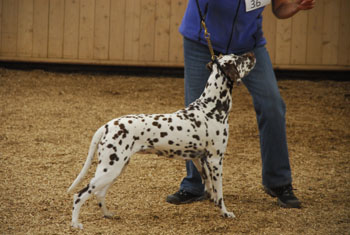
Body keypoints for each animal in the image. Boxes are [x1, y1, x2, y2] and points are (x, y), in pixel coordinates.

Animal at [67, 51, 256, 229]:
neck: (211, 108)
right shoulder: (216, 160)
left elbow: (211, 188)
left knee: (98, 193)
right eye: (239, 58)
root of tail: (107, 125)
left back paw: (108, 214)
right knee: (80, 195)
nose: (252, 54)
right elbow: (220, 193)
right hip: (109, 169)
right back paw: (76, 224)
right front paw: (225, 212)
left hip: (115, 169)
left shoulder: (200, 159)